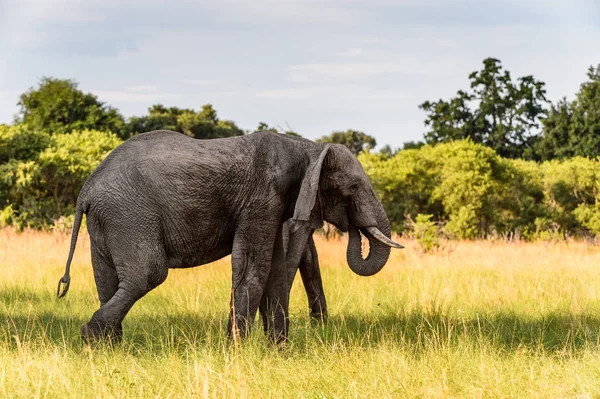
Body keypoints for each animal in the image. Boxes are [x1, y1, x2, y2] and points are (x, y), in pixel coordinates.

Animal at [57, 130, 404, 344]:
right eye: (353, 187)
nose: (353, 228)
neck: (309, 148)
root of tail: (87, 189)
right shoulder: (262, 198)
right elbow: (255, 267)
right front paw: (236, 350)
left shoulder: (274, 205)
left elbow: (275, 271)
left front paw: (278, 352)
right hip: (129, 214)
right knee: (148, 274)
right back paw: (90, 337)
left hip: (108, 220)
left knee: (107, 279)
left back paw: (109, 348)